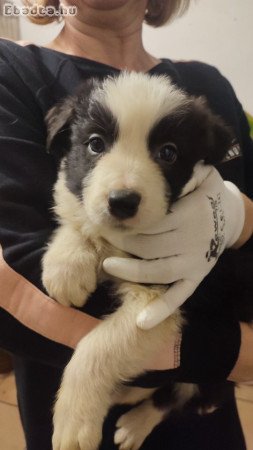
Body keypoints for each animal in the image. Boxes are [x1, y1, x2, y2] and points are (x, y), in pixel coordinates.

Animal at [41, 74, 233, 450]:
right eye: (95, 144)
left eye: (168, 152)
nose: (122, 202)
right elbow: (81, 218)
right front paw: (66, 266)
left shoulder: (162, 302)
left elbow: (98, 347)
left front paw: (75, 424)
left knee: (180, 393)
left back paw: (135, 422)